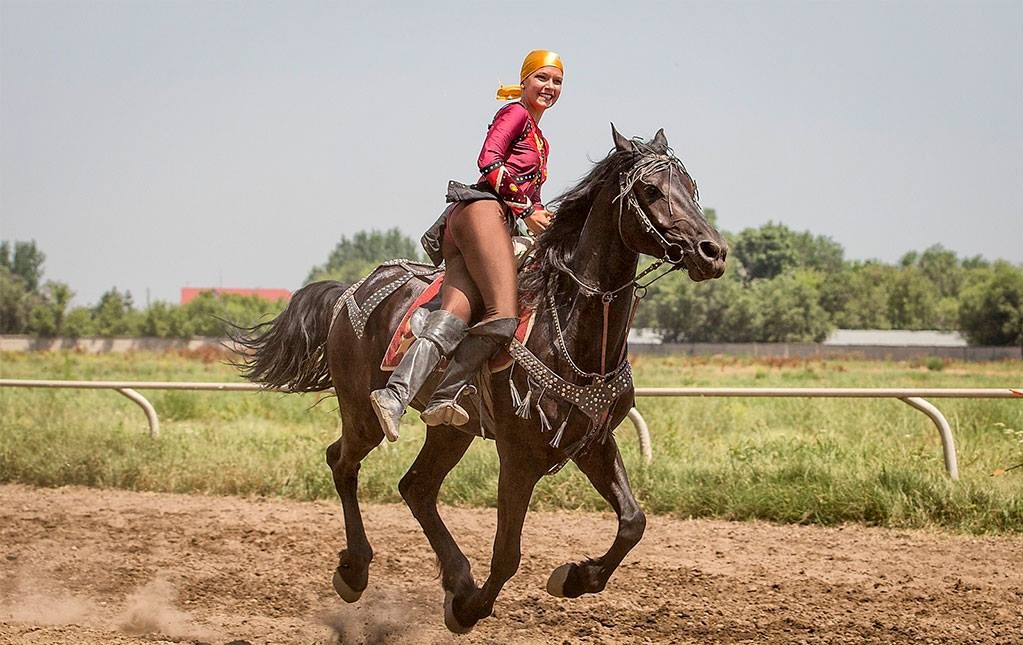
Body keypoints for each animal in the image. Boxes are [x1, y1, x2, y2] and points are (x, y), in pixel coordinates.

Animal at [234, 124, 728, 630]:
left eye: (691, 188)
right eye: (650, 189)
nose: (713, 251)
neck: (573, 330)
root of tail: (349, 291)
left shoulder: (593, 440)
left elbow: (633, 522)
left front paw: (573, 578)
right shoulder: (519, 455)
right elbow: (508, 553)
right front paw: (470, 609)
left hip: (452, 429)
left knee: (416, 487)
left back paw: (455, 576)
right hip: (361, 411)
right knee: (343, 462)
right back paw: (356, 569)